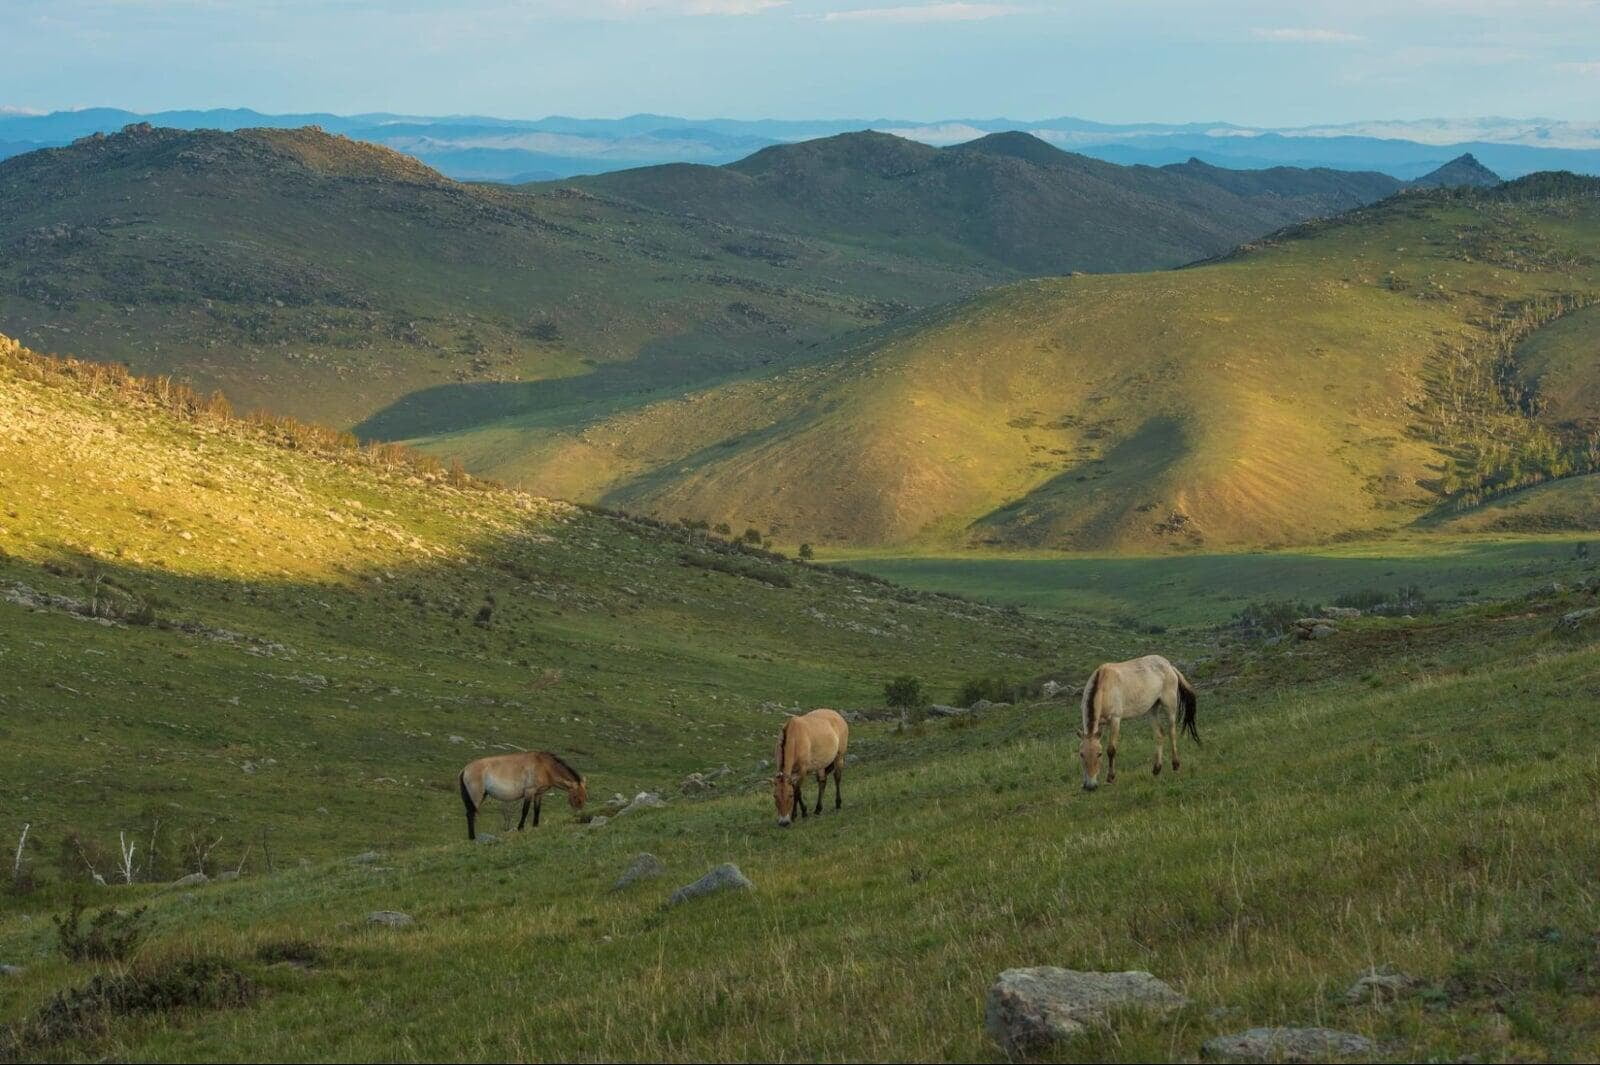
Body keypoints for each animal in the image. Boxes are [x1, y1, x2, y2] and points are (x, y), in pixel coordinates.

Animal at [457, 751, 587, 841]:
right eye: (576, 797)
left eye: (585, 797)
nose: (579, 817)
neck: (544, 766)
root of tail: (465, 769)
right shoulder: (529, 792)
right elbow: (525, 811)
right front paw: (520, 828)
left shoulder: (539, 793)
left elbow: (537, 810)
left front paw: (535, 826)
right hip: (476, 796)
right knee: (470, 814)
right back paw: (472, 838)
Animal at [1078, 654, 1199, 791]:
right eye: (1081, 754)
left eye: (1099, 754)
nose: (1090, 786)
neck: (1104, 686)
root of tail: (1169, 666)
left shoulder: (1115, 720)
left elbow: (1111, 749)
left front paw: (1110, 777)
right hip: (1152, 709)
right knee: (1160, 734)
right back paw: (1156, 769)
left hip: (1170, 706)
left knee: (1172, 732)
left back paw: (1176, 765)